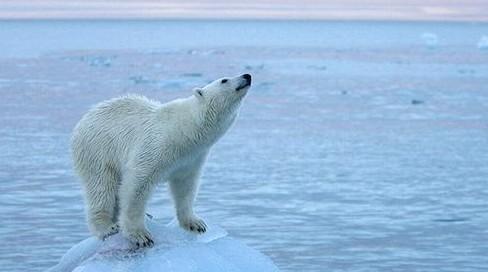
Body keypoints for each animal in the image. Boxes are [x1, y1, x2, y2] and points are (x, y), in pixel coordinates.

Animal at [71, 74, 252, 246]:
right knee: (101, 186)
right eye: (224, 80)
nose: (247, 75)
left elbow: (185, 187)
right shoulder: (155, 145)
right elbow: (136, 185)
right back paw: (107, 227)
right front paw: (140, 235)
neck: (186, 130)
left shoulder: (190, 158)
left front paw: (195, 223)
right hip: (98, 150)